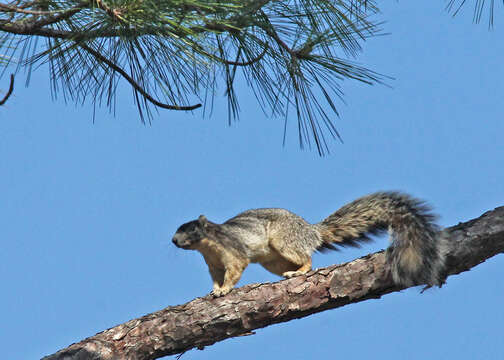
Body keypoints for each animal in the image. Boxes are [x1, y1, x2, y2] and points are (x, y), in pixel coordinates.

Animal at [171, 191, 446, 296]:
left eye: (190, 229)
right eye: (177, 229)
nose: (173, 240)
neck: (208, 246)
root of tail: (311, 231)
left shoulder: (233, 251)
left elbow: (235, 271)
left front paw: (225, 289)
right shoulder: (213, 264)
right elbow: (216, 276)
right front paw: (215, 289)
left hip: (285, 241)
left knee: (308, 259)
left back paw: (299, 271)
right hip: (274, 260)